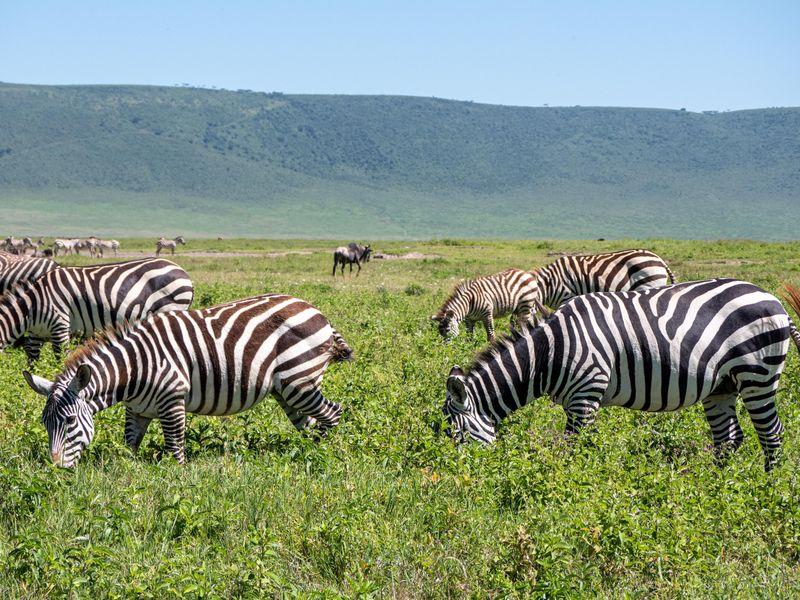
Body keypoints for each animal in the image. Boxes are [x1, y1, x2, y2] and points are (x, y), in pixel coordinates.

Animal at [0, 256, 194, 360]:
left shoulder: (60, 325)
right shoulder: (36, 335)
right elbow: (32, 363)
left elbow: (60, 359)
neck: (32, 306)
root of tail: (184, 273)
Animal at [25, 292, 352, 466]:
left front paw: (179, 482)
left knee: (333, 414)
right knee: (309, 424)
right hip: (285, 390)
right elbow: (130, 444)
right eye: (44, 423)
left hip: (300, 380)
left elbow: (175, 448)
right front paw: (130, 473)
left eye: (69, 421)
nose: (56, 469)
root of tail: (316, 310)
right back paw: (302, 454)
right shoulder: (137, 409)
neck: (134, 368)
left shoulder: (173, 400)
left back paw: (322, 457)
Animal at [444, 278, 800, 472]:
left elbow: (575, 447)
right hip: (722, 386)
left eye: (455, 434)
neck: (548, 353)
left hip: (758, 376)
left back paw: (764, 490)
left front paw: (571, 486)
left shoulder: (585, 394)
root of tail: (774, 300)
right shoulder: (577, 400)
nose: (460, 482)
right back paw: (717, 490)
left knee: (772, 434)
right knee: (728, 439)